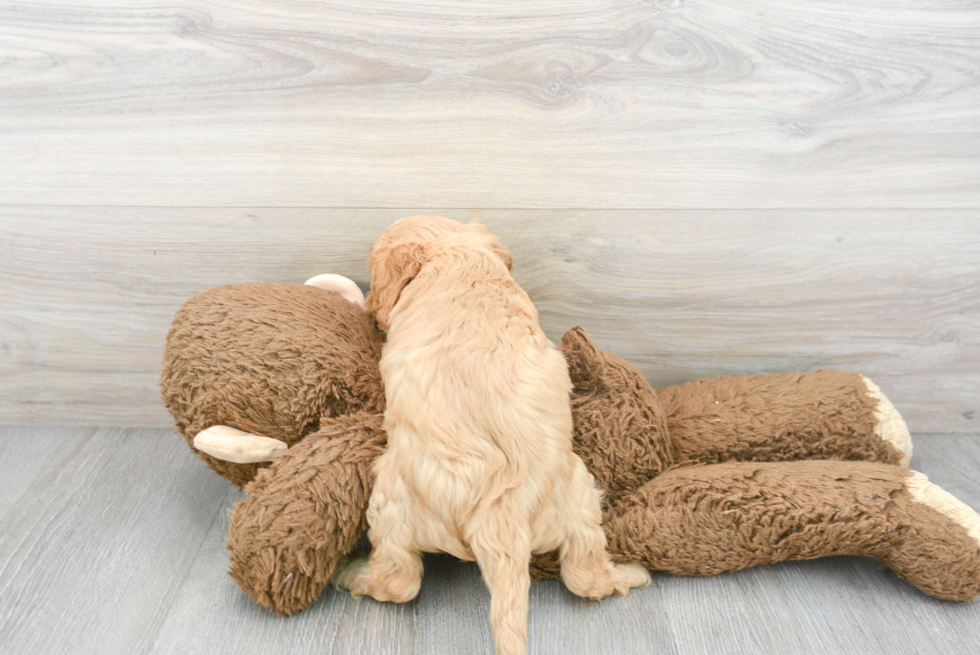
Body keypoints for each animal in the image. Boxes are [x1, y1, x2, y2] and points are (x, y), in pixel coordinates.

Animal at [332, 218, 652, 655]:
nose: (368, 307)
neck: (459, 260)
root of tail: (501, 514)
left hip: (390, 502)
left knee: (399, 580)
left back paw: (352, 574)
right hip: (581, 495)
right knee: (583, 575)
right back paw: (628, 574)